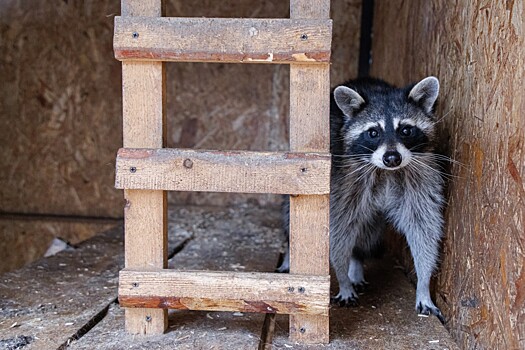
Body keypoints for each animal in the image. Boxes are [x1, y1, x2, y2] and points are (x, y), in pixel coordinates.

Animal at [278, 76, 446, 320]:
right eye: (373, 132)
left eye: (406, 130)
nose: (392, 158)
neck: (386, 172)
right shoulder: (342, 181)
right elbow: (337, 231)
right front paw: (342, 278)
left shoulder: (418, 180)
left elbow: (423, 228)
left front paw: (423, 284)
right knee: (292, 216)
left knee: (368, 231)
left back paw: (356, 263)